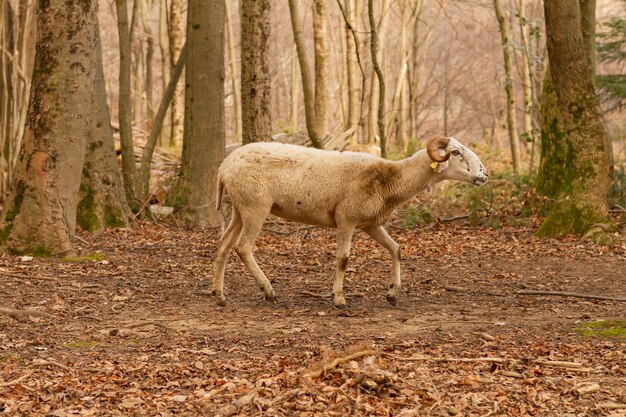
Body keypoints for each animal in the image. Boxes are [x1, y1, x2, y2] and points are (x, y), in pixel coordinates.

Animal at [212, 136, 486, 306]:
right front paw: (339, 299)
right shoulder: (346, 219)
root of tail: (224, 166)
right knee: (242, 248)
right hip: (255, 207)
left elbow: (396, 249)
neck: (390, 179)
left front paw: (392, 293)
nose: (484, 175)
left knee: (224, 246)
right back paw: (268, 291)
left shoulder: (370, 223)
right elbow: (343, 259)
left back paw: (220, 295)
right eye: (455, 152)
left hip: (240, 209)